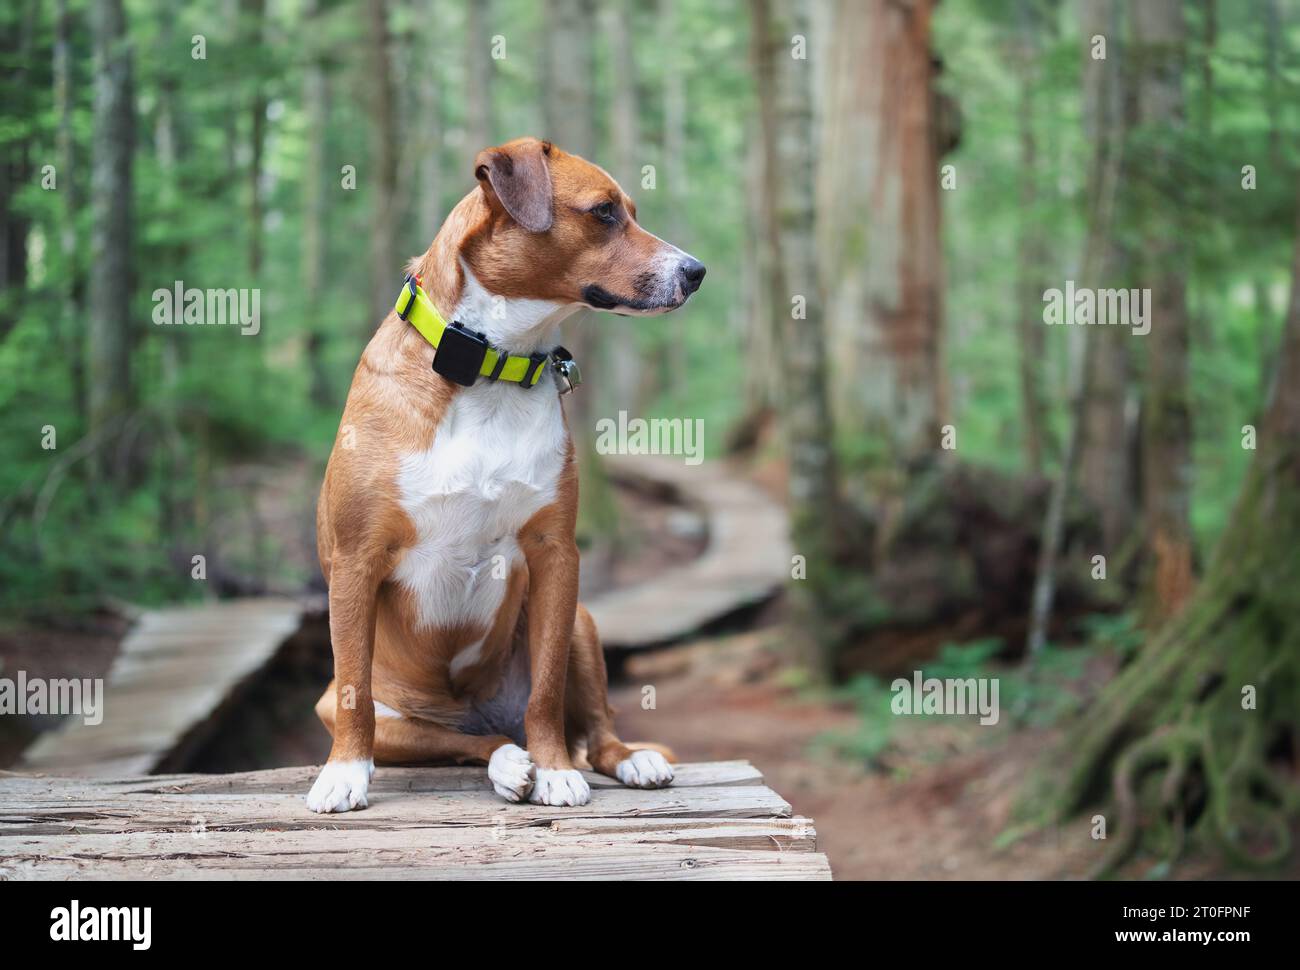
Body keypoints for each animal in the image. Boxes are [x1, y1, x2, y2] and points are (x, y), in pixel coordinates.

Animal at [305, 135, 707, 806]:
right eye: (604, 213)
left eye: (631, 211)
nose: (696, 271)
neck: (492, 366)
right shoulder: (356, 560)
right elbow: (357, 691)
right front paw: (343, 774)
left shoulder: (555, 556)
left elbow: (544, 693)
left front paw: (555, 768)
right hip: (373, 713)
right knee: (465, 741)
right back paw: (506, 763)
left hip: (582, 623)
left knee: (594, 730)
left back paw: (621, 759)